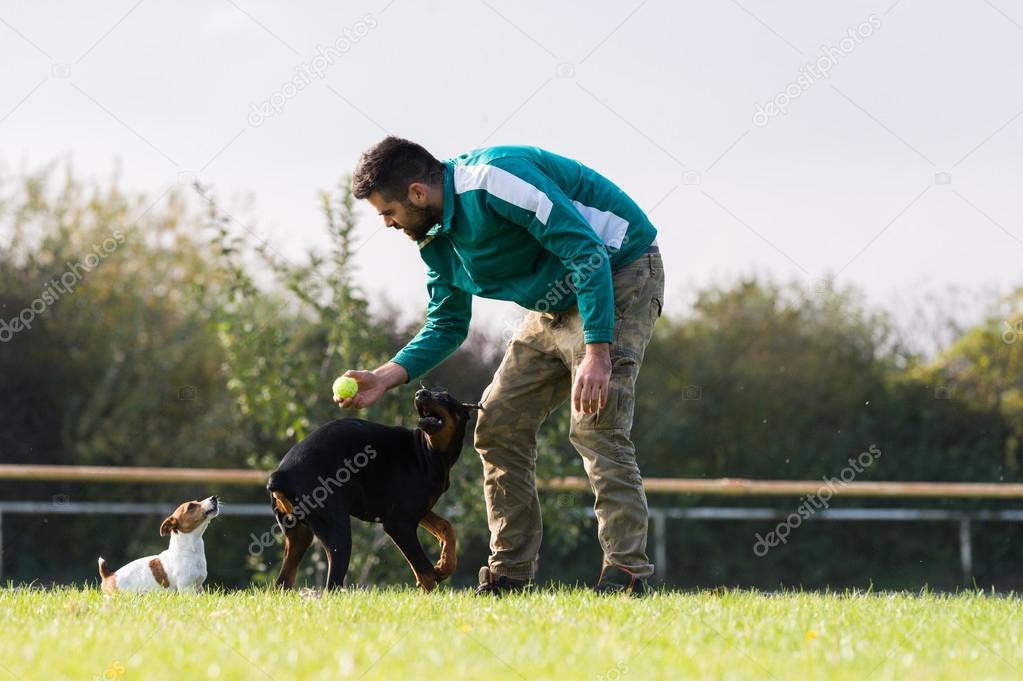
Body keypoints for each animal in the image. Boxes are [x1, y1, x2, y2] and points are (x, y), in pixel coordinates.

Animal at [265, 386, 476, 588]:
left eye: (446, 398)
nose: (420, 393)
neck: (428, 452)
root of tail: (280, 475)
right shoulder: (399, 522)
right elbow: (426, 572)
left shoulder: (417, 510)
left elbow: (446, 526)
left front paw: (445, 565)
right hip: (337, 532)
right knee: (331, 584)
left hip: (300, 535)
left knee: (283, 582)